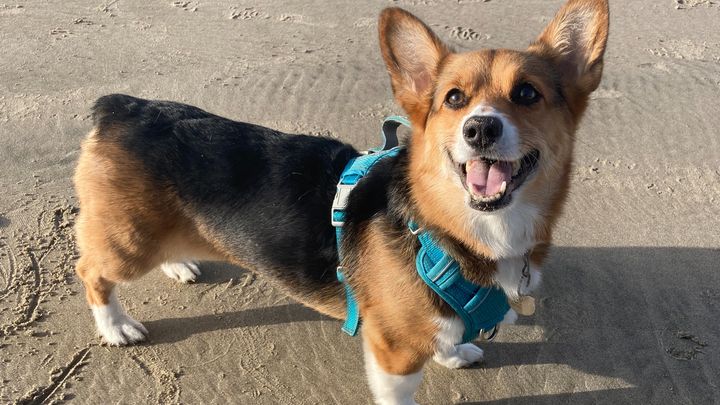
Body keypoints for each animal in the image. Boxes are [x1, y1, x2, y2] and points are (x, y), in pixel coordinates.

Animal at [73, 0, 608, 403]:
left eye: (527, 93)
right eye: (454, 99)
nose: (480, 129)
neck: (459, 230)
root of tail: (123, 106)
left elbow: (446, 336)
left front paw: (455, 353)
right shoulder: (391, 352)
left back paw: (180, 263)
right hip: (129, 243)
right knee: (92, 271)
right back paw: (117, 326)